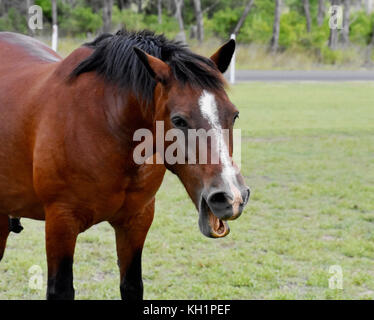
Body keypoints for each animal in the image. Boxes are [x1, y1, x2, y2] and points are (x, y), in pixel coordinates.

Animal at [0, 30, 251, 300]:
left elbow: (131, 285)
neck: (105, 124)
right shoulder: (61, 221)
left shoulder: (136, 220)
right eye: (179, 120)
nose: (231, 197)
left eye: (234, 115)